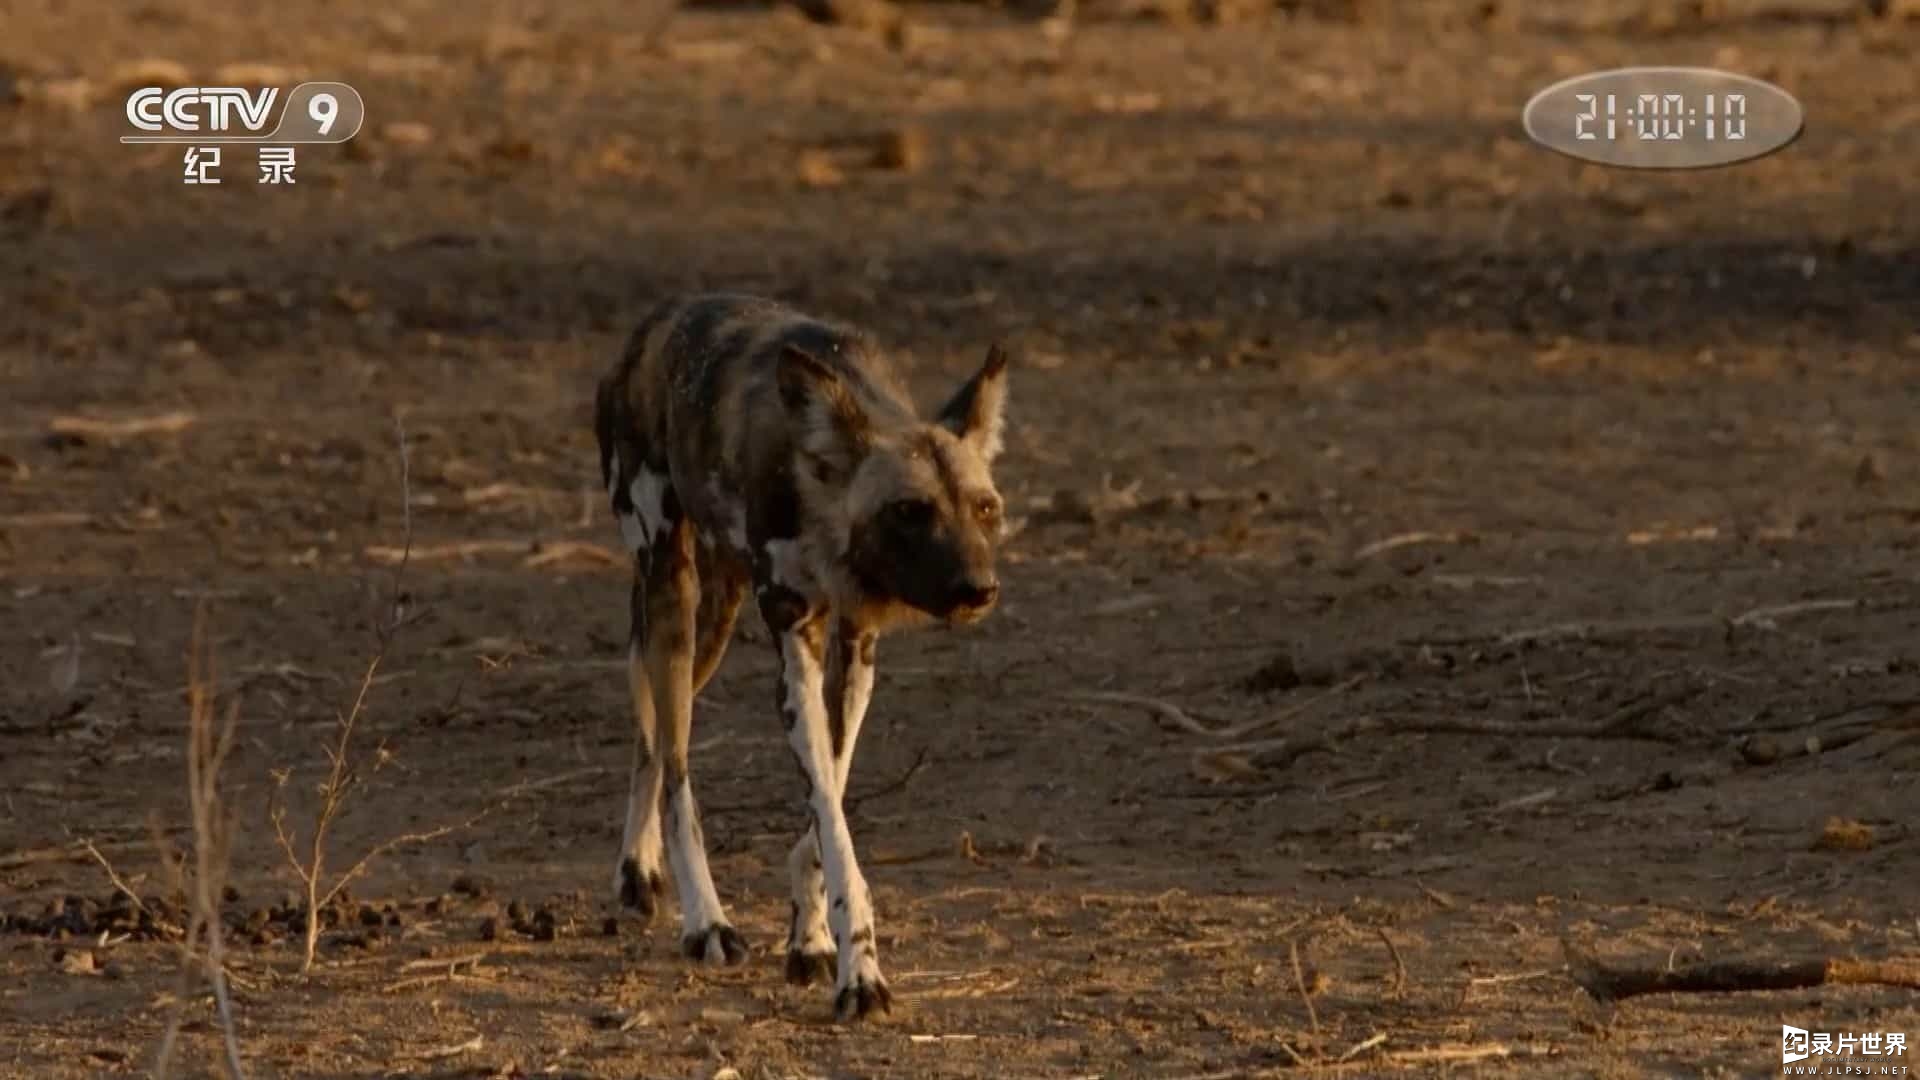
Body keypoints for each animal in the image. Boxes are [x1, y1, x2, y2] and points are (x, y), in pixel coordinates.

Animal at [591, 292, 1013, 1014]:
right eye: (910, 510)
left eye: (985, 508)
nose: (977, 590)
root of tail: (651, 326)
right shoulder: (797, 647)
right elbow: (835, 829)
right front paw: (860, 974)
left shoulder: (856, 647)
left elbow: (828, 807)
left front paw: (811, 937)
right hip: (671, 588)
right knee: (676, 765)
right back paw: (705, 920)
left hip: (713, 619)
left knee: (655, 736)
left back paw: (637, 868)